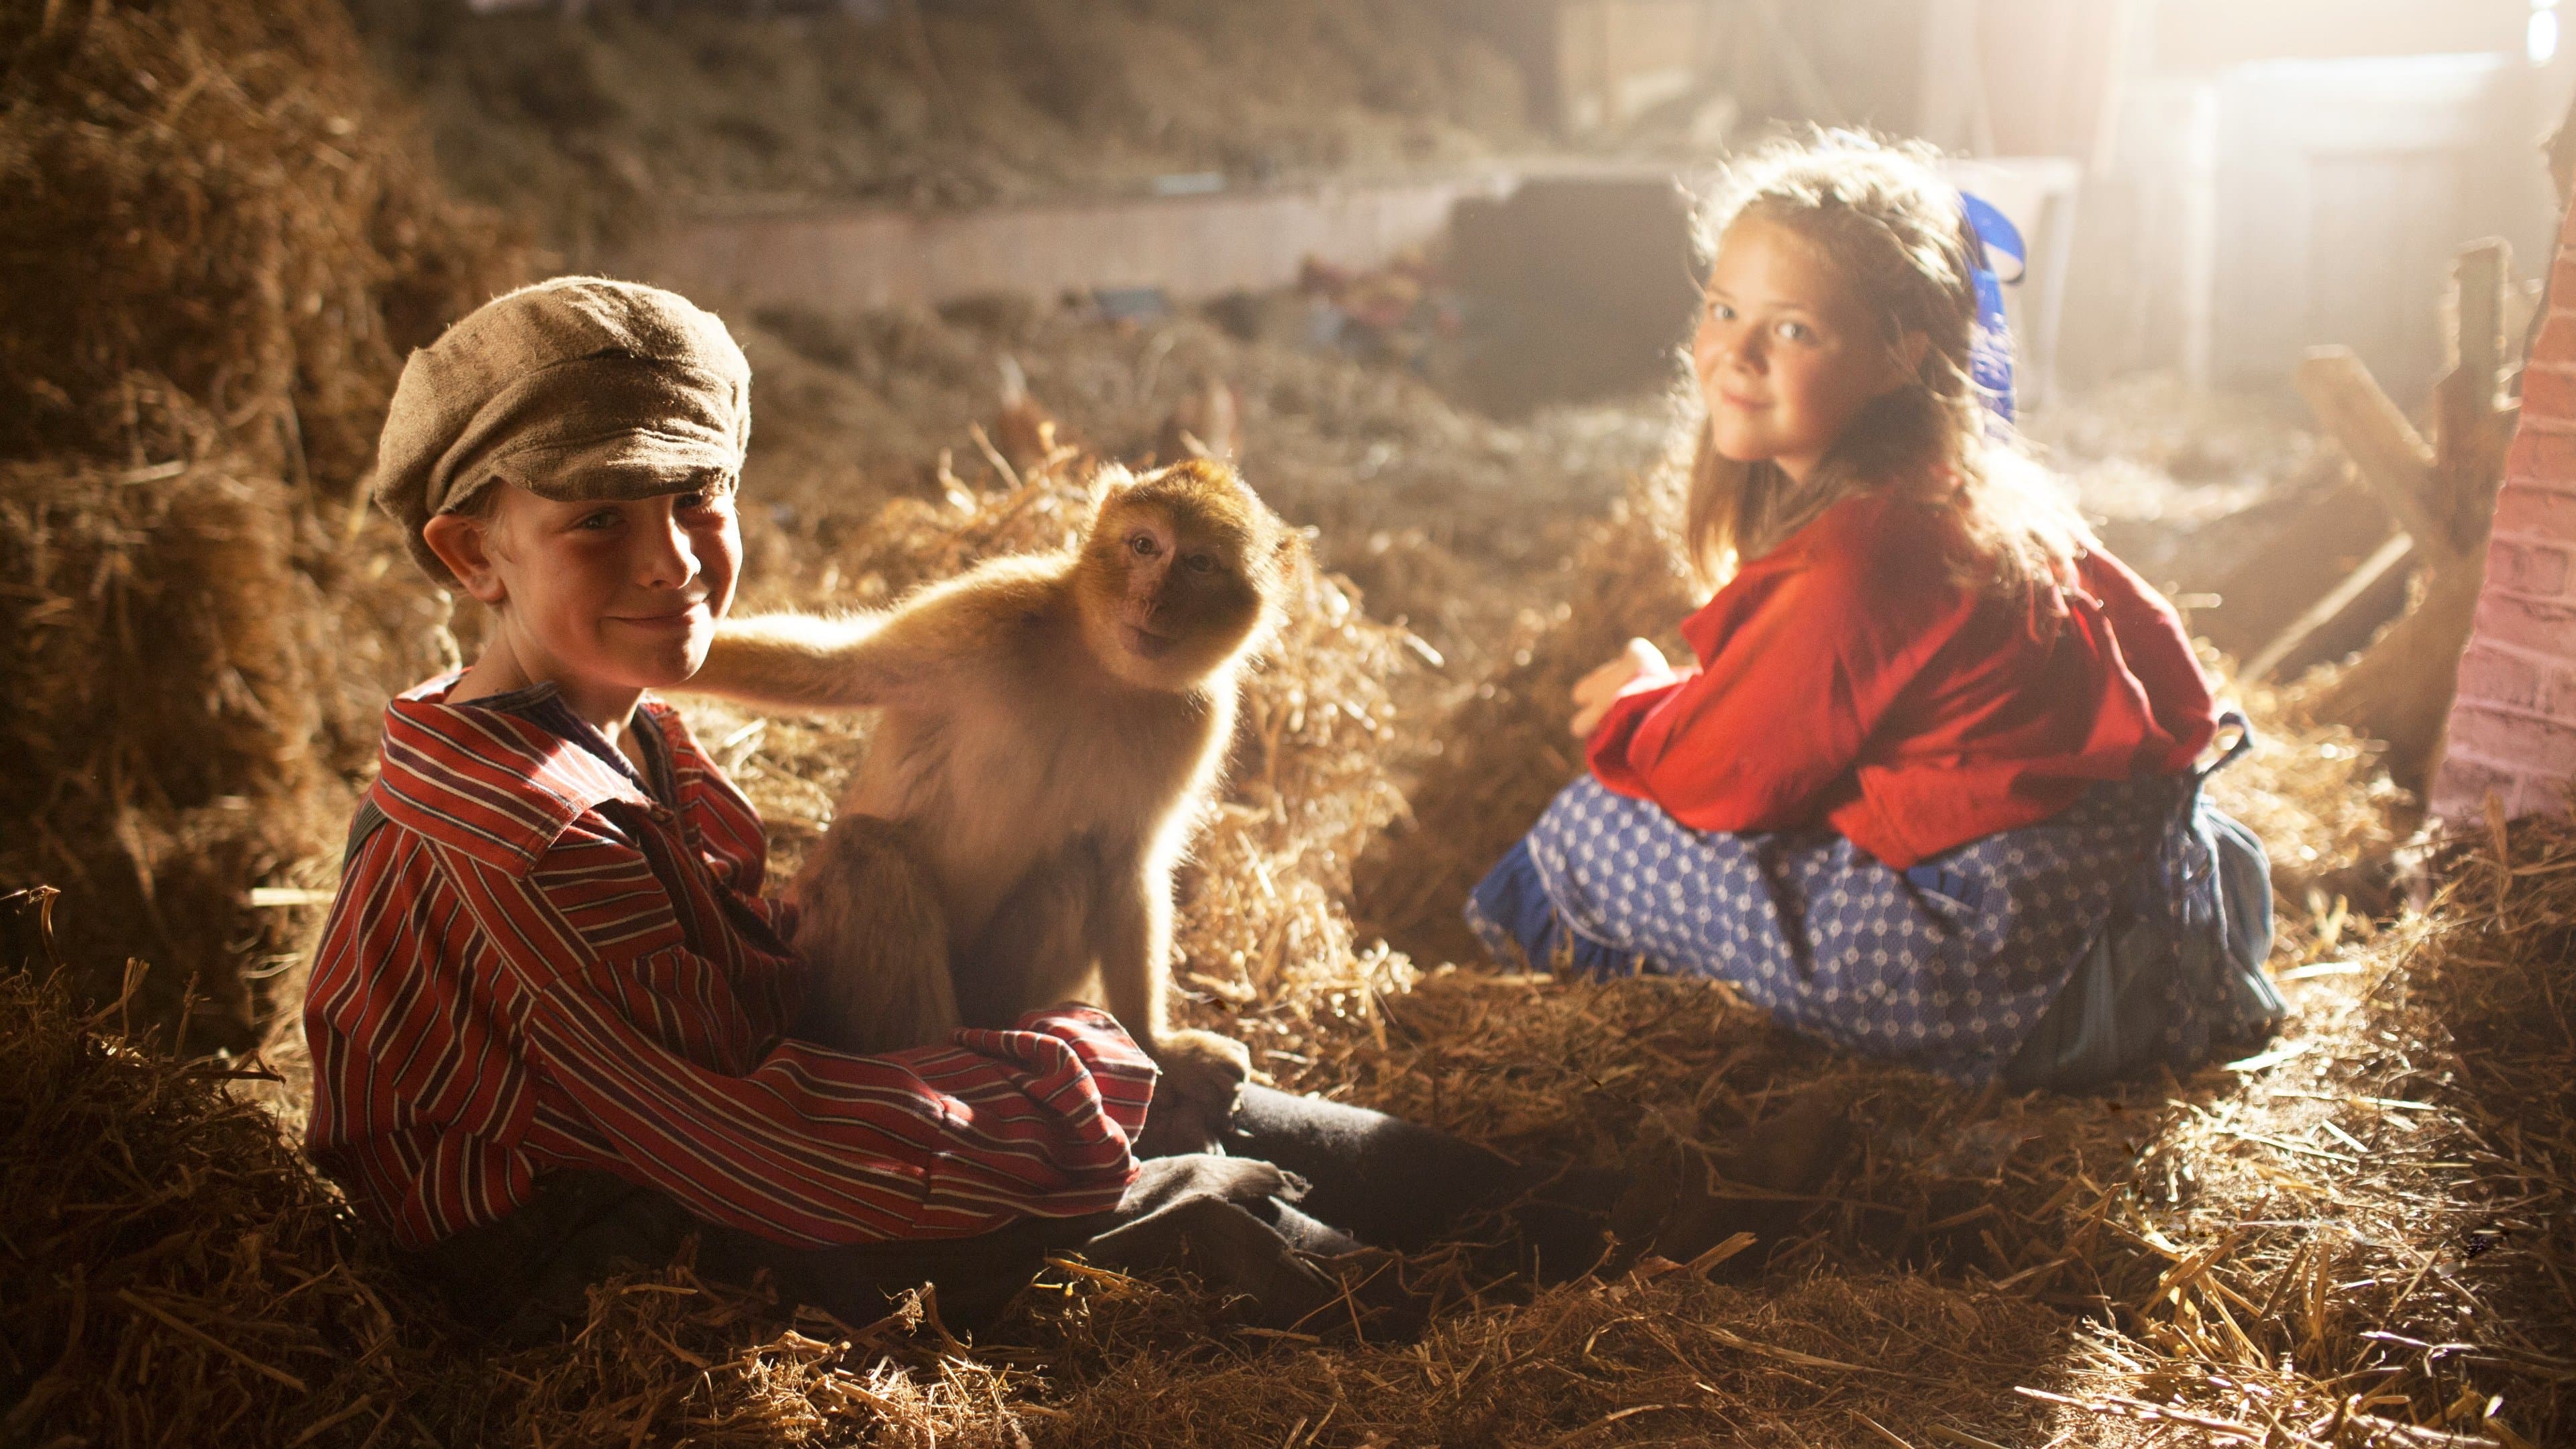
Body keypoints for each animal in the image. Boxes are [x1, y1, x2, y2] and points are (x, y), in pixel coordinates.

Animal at [684, 458, 1286, 1150]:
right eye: (1144, 546)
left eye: (1199, 564)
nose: (1151, 601)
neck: (1101, 667)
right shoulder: (992, 603)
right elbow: (840, 669)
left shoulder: (1199, 716)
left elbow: (1125, 863)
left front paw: (1155, 1044)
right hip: (813, 954)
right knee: (869, 851)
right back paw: (930, 1075)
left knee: (1075, 870)